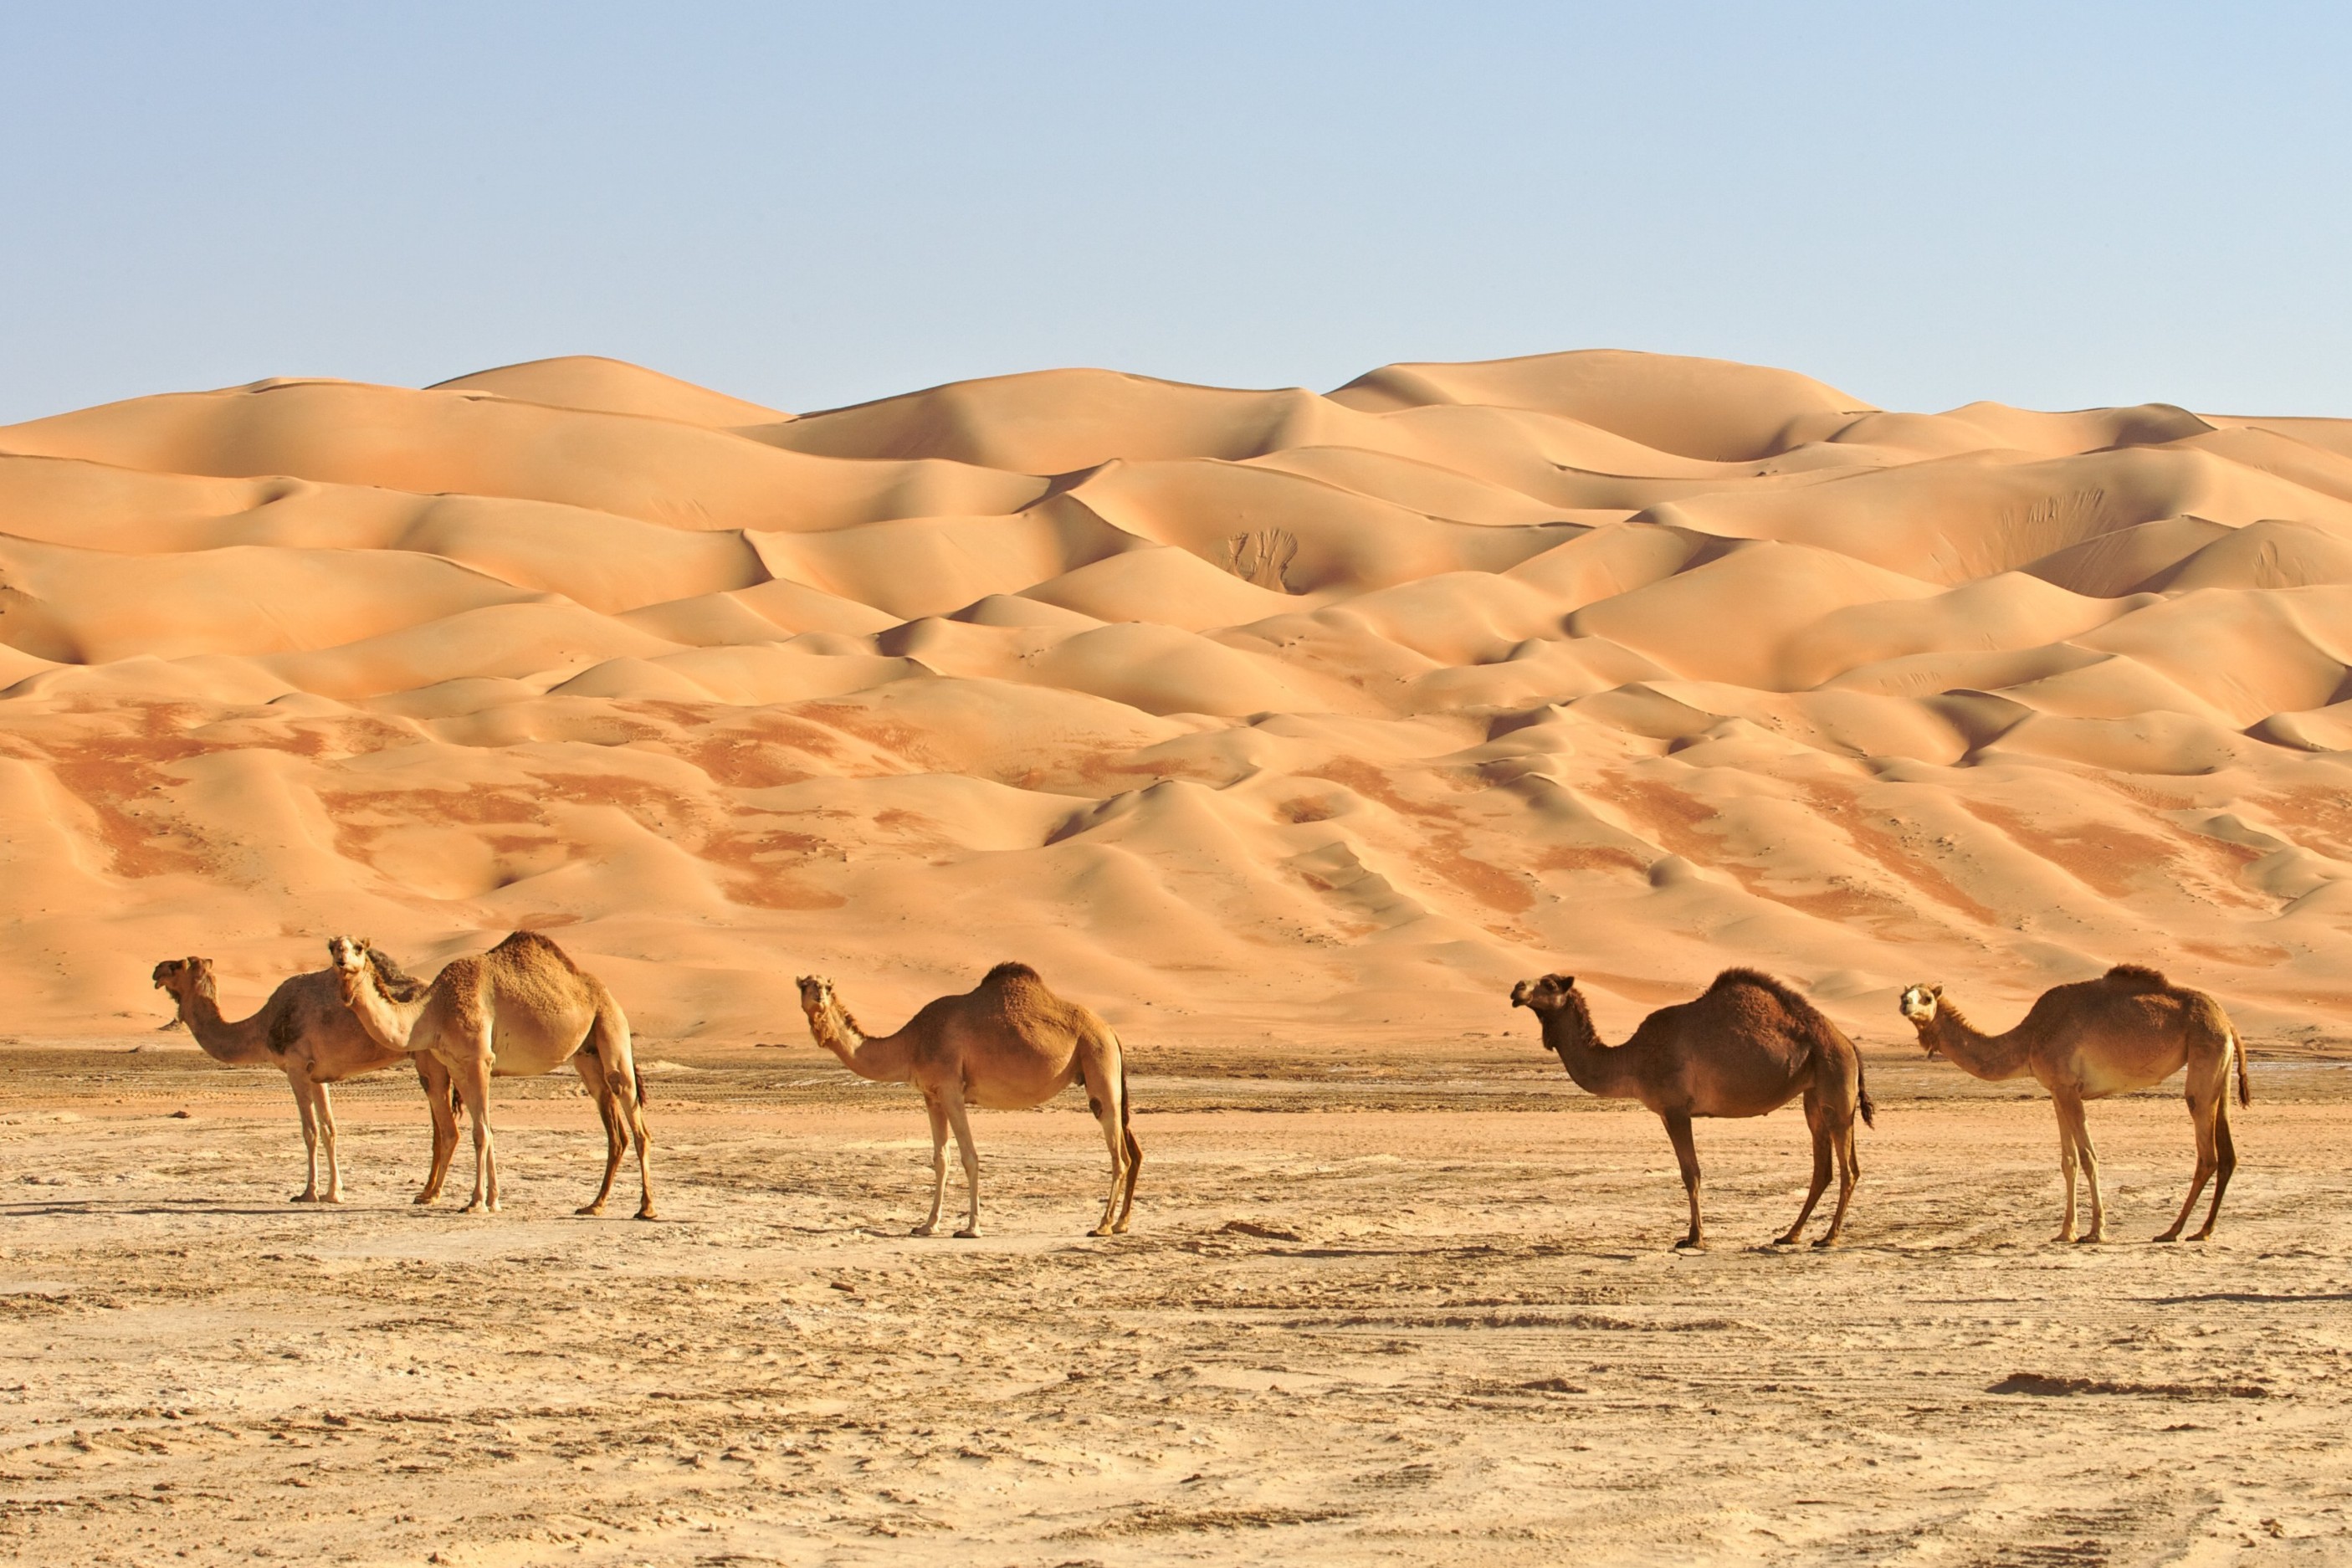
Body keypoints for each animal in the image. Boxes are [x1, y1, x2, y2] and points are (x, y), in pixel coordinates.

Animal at [151, 950, 433, 1212]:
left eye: (176, 966)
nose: (156, 970)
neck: (263, 1025)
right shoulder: (318, 1074)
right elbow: (330, 1129)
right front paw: (334, 1193)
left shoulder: (295, 1068)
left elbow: (310, 1131)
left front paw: (308, 1193)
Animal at [324, 925, 653, 1222]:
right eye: (332, 947)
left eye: (358, 948)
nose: (341, 960)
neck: (432, 1012)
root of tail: (606, 994)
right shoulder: (458, 1066)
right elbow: (487, 1130)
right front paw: (494, 1200)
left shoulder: (479, 1060)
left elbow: (481, 1132)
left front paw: (476, 1202)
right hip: (587, 1056)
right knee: (614, 1128)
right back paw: (594, 1205)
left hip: (611, 1027)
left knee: (635, 1120)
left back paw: (646, 1209)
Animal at [795, 963, 1143, 1241]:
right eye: (804, 985)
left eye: (827, 986)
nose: (819, 997)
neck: (913, 1041)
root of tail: (1111, 1031)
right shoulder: (931, 1096)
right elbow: (941, 1159)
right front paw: (927, 1225)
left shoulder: (951, 1089)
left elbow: (969, 1157)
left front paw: (971, 1227)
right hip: (1104, 1070)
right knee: (1132, 1149)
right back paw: (1122, 1223)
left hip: (1098, 1061)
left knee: (1120, 1155)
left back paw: (1102, 1225)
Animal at [1514, 968, 1881, 1250]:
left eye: (1549, 984)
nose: (1516, 990)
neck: (1633, 1058)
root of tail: (1849, 1043)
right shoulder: (1668, 1113)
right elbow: (1689, 1172)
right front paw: (1694, 1235)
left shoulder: (1676, 1109)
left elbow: (1690, 1173)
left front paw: (1694, 1238)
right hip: (1814, 1097)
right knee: (1824, 1168)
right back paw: (1789, 1235)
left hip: (1836, 1086)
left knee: (1848, 1169)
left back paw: (1829, 1238)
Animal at [1891, 963, 2239, 1241]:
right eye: (1904, 994)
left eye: (1927, 997)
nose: (1905, 1005)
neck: (2030, 1037)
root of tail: (2226, 1019)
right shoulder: (2057, 1091)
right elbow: (2068, 1161)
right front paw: (2065, 1232)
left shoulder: (2070, 1089)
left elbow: (2088, 1157)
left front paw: (2096, 1231)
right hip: (2219, 1072)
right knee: (2227, 1154)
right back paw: (2202, 1230)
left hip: (2204, 1057)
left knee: (2207, 1153)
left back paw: (2173, 1231)